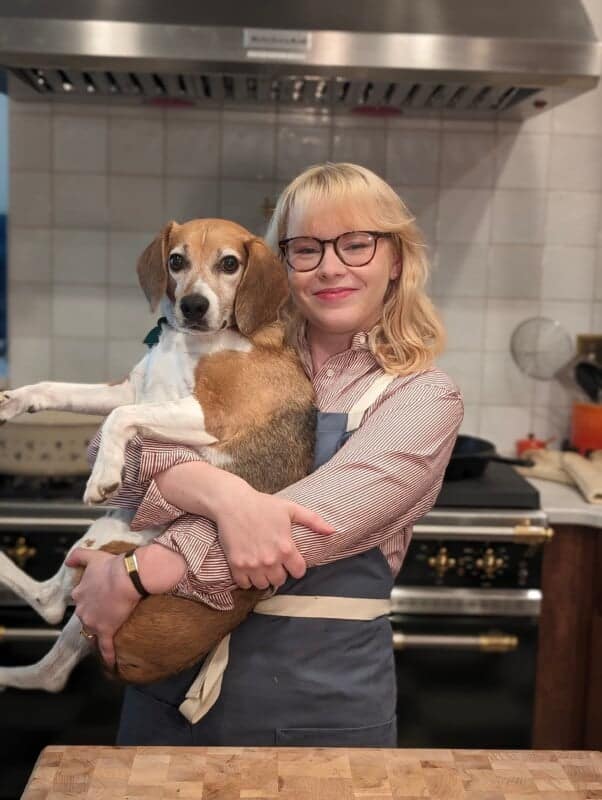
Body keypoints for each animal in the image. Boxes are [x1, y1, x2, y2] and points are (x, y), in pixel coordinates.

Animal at [0, 219, 316, 692]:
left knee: (51, 607)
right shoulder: (133, 389)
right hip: (110, 528)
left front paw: (103, 473)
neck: (187, 342)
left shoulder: (209, 415)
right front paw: (13, 401)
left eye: (230, 263)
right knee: (50, 656)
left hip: (108, 542)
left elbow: (119, 418)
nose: (193, 305)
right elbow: (55, 389)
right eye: (176, 260)